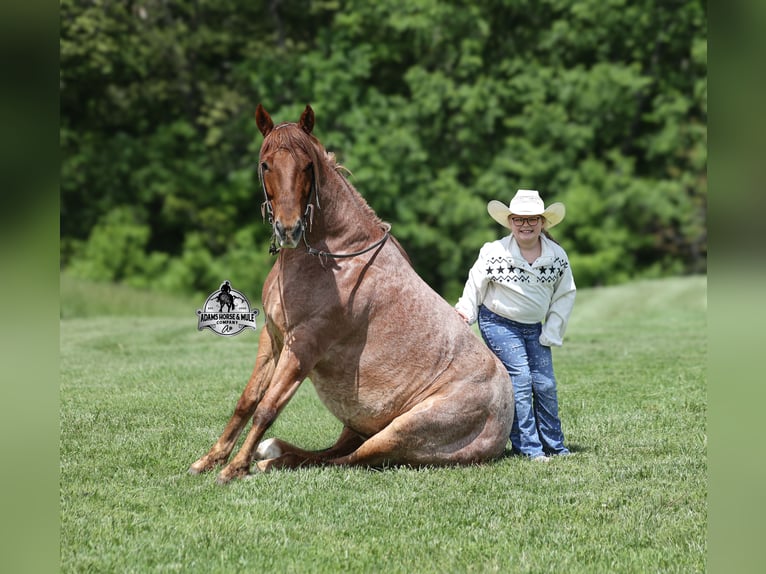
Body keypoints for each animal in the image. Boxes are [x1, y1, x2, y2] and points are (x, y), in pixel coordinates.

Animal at [189, 104, 514, 483]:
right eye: (266, 164)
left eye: (307, 166)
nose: (288, 229)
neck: (335, 258)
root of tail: (505, 419)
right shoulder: (273, 337)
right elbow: (247, 400)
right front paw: (209, 460)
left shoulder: (304, 345)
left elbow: (267, 407)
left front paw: (233, 469)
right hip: (358, 423)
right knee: (333, 451)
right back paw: (273, 450)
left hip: (399, 432)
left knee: (347, 460)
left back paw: (270, 461)